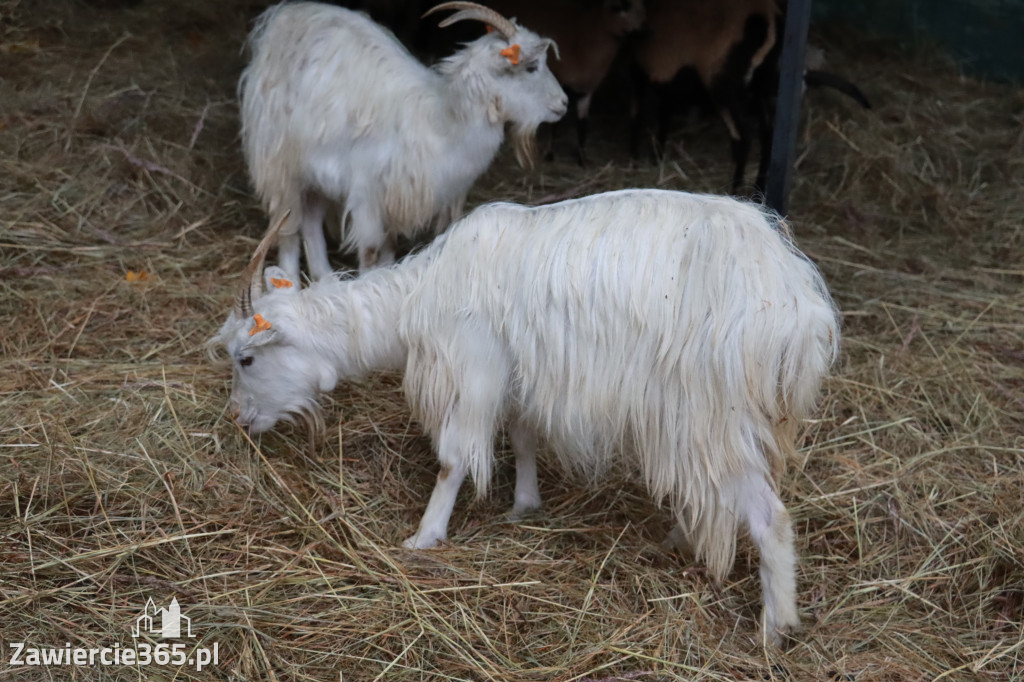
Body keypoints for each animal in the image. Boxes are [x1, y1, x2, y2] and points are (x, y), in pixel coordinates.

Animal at [209, 187, 839, 643]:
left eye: (246, 357)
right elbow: (523, 434)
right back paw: (681, 541)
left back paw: (772, 630)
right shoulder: (517, 373)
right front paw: (524, 505)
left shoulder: (474, 365)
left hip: (710, 411)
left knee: (768, 514)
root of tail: (796, 304)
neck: (419, 294)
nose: (239, 420)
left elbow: (453, 458)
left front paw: (424, 537)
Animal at [238, 0, 569, 278]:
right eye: (531, 67)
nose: (563, 103)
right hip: (278, 160)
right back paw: (291, 281)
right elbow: (371, 254)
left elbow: (387, 255)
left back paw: (324, 278)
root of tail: (285, 15)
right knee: (287, 227)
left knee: (310, 220)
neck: (443, 122)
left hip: (316, 175)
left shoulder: (392, 204)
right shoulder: (367, 195)